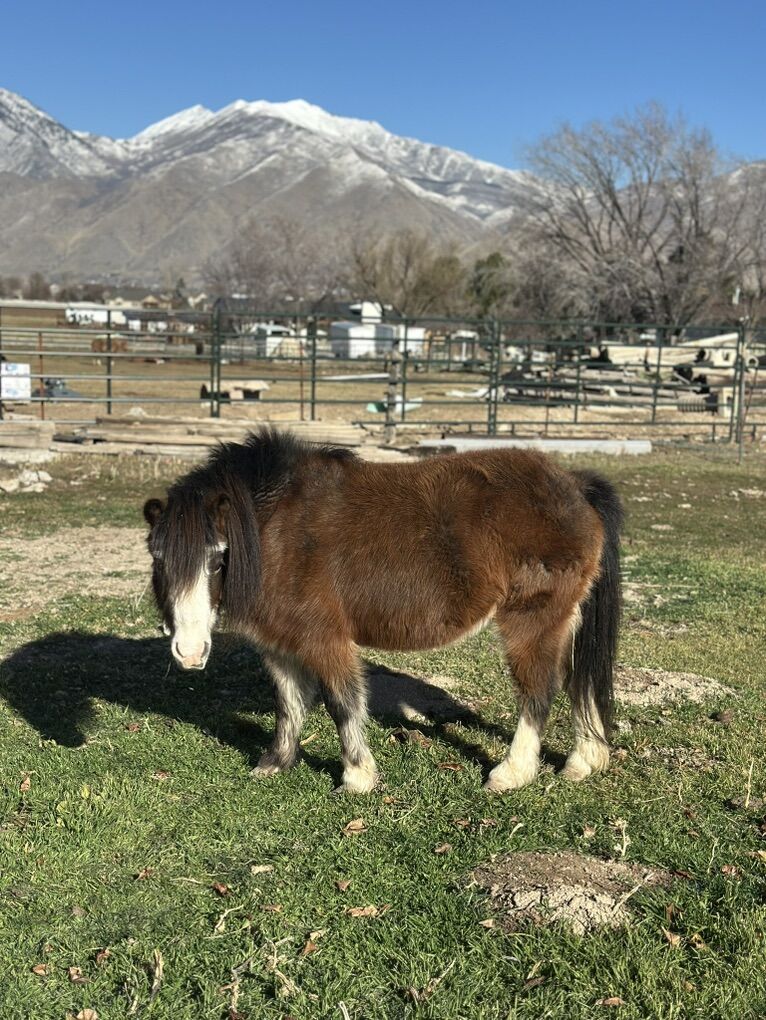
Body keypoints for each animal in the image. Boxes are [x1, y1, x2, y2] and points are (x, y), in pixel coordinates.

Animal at [143, 429, 622, 794]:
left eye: (218, 559)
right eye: (158, 558)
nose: (189, 653)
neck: (272, 533)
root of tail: (574, 484)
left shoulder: (324, 637)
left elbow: (342, 703)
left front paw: (357, 777)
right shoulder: (279, 643)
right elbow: (289, 703)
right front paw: (276, 762)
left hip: (531, 620)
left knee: (538, 691)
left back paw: (512, 773)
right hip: (568, 619)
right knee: (580, 680)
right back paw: (583, 761)